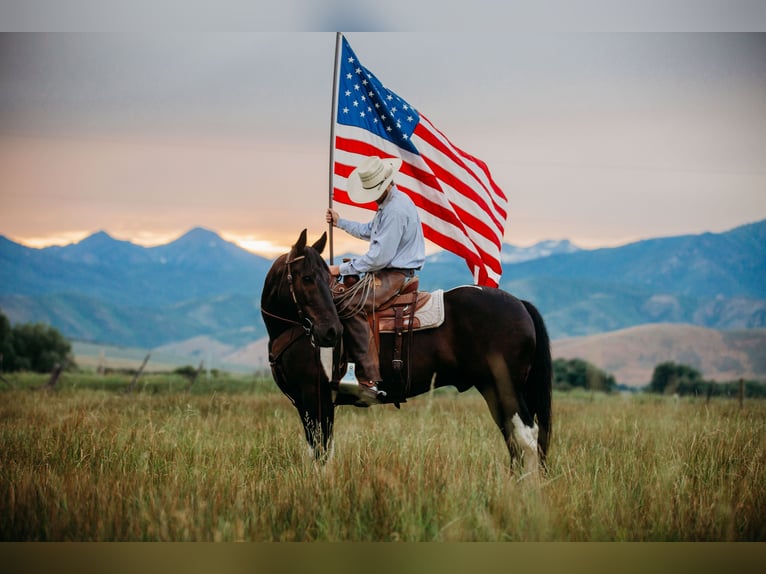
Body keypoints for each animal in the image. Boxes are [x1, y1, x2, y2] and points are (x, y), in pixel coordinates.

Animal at [262, 230, 552, 476]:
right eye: (307, 277)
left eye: (326, 278)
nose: (331, 332)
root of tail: (520, 304)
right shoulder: (305, 403)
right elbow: (318, 450)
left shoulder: (315, 397)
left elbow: (321, 452)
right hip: (497, 389)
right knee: (514, 439)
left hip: (505, 388)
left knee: (526, 437)